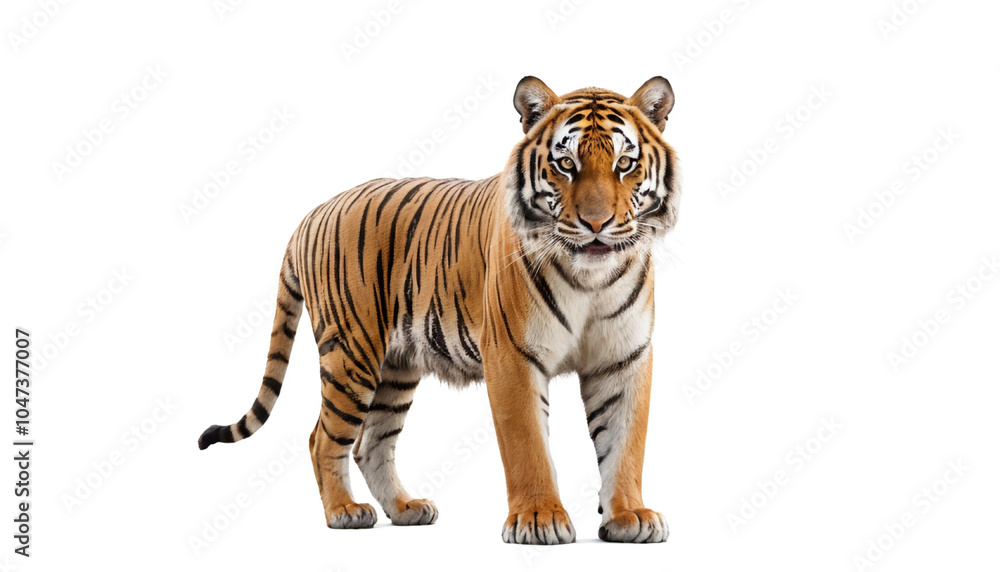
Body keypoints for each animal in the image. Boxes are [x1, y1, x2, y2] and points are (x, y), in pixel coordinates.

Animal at [199, 76, 680, 544]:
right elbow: (527, 444)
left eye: (624, 164)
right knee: (323, 438)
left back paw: (405, 509)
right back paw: (345, 512)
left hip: (395, 367)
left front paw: (629, 515)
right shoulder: (512, 356)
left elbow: (625, 444)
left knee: (372, 443)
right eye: (565, 164)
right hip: (351, 355)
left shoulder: (624, 357)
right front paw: (538, 518)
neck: (590, 279)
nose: (596, 224)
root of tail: (313, 212)